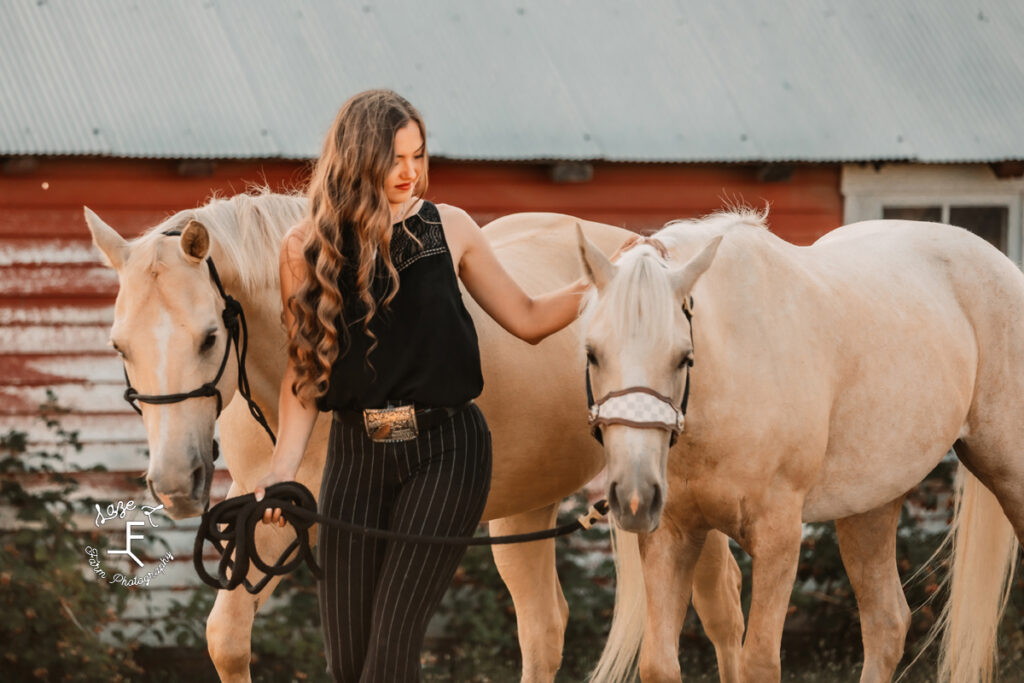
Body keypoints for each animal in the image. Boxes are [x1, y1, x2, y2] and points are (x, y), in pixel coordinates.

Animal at [86, 192, 745, 683]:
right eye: (119, 346)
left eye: (207, 337)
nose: (175, 483)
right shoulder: (272, 511)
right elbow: (226, 638)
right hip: (525, 509)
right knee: (544, 627)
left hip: (681, 512)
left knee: (724, 615)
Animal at [577, 210, 1024, 679]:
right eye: (592, 353)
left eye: (684, 357)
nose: (634, 496)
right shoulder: (672, 534)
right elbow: (660, 664)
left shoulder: (779, 535)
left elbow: (759, 663)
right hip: (869, 506)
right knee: (887, 623)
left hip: (1010, 474)